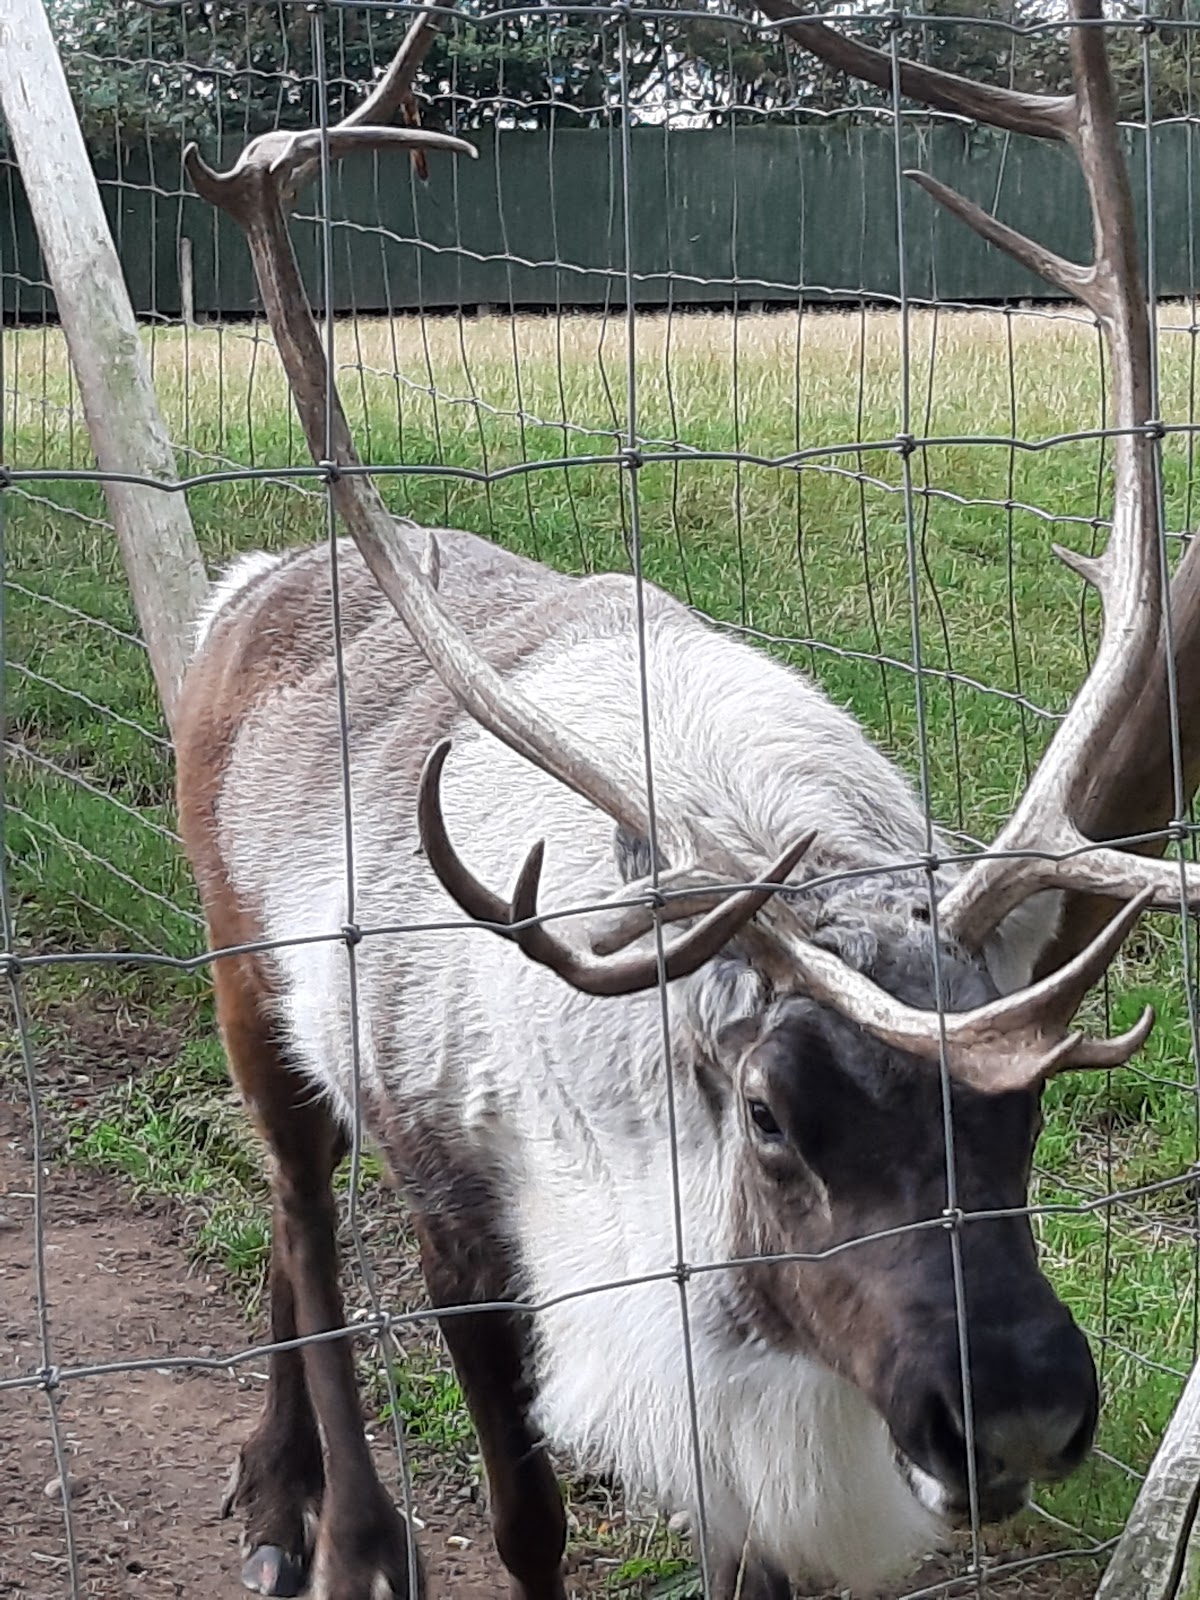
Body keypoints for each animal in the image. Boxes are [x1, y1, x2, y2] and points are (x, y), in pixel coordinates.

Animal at [175, 4, 1200, 1598]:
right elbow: (526, 1519)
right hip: (247, 988)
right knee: (302, 1216)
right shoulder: (470, 1228)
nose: (1020, 1416)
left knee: (290, 1227)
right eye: (772, 1116)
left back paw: (272, 1489)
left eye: (1031, 1103)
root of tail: (249, 581)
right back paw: (332, 1527)